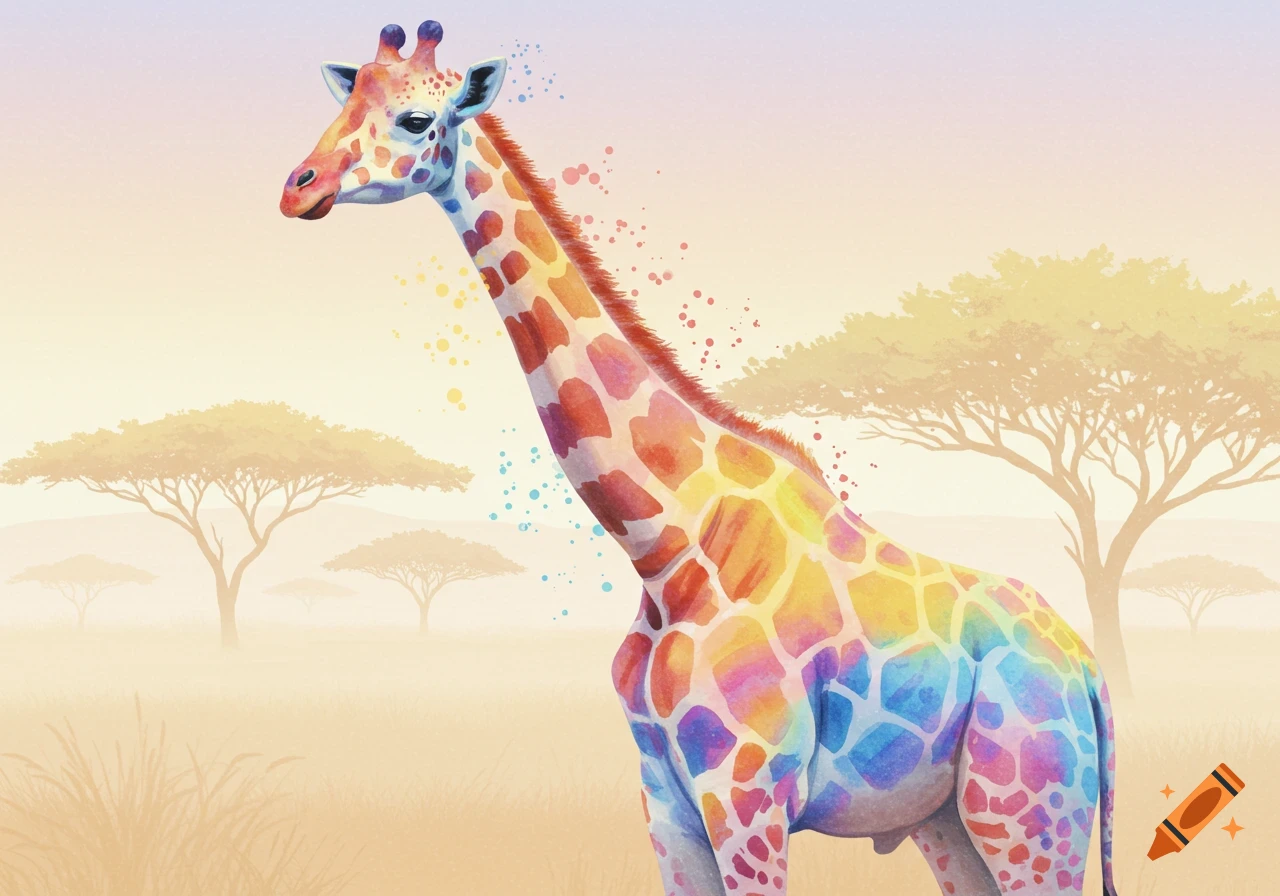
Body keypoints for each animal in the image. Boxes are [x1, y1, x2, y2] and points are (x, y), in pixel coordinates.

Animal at [280, 22, 1119, 896]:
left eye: (417, 120)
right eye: (346, 101)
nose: (298, 188)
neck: (668, 546)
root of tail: (1089, 671)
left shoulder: (748, 793)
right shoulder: (666, 800)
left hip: (1028, 809)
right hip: (948, 823)